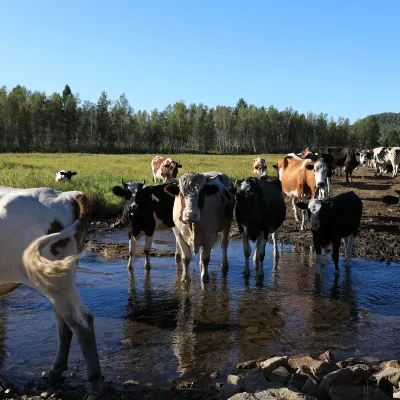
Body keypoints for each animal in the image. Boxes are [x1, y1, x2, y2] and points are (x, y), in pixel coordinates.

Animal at [0, 186, 103, 398]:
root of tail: (68, 195)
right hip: (59, 278)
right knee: (66, 324)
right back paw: (55, 371)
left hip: (54, 283)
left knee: (80, 323)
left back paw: (95, 387)